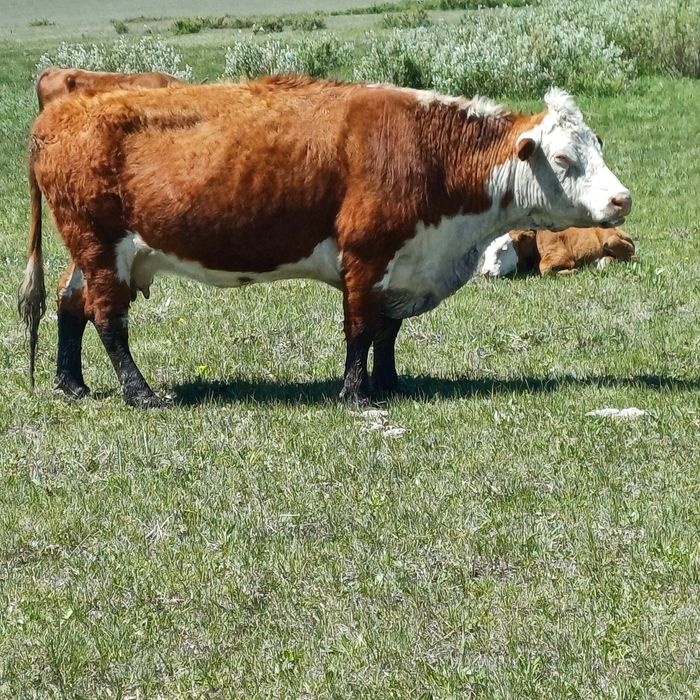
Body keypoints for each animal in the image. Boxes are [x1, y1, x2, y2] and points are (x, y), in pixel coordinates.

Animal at [480, 226, 636, 277]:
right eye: (485, 253)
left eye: (503, 250)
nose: (485, 272)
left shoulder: (562, 255)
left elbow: (543, 268)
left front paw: (573, 271)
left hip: (611, 240)